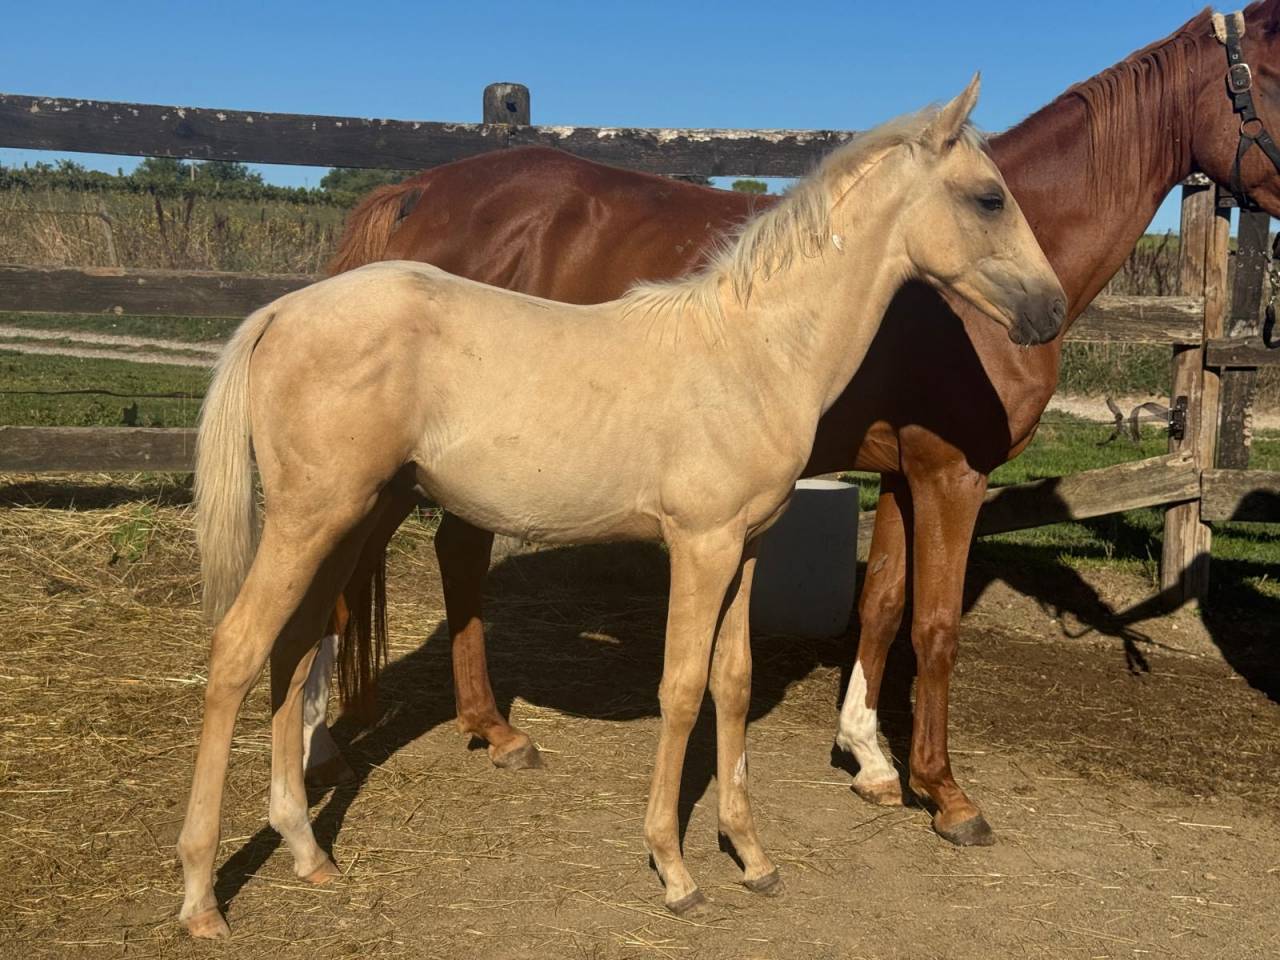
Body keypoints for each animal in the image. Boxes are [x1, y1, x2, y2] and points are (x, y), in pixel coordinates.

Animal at [178, 83, 1065, 938]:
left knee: (292, 649)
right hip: (312, 519)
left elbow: (733, 684)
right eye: (990, 197)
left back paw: (306, 850)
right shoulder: (701, 546)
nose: (1051, 312)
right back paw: (202, 897)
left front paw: (751, 856)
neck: (754, 351)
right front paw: (673, 870)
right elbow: (680, 688)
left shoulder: (747, 547)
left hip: (342, 518)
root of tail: (279, 313)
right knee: (238, 650)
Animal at [303, 2, 1280, 847]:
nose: (1036, 316)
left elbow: (881, 605)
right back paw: (337, 742)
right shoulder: (952, 473)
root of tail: (417, 188)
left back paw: (487, 727)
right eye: (1273, 75)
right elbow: (935, 627)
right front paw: (946, 793)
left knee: (451, 557)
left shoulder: (902, 472)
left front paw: (870, 758)